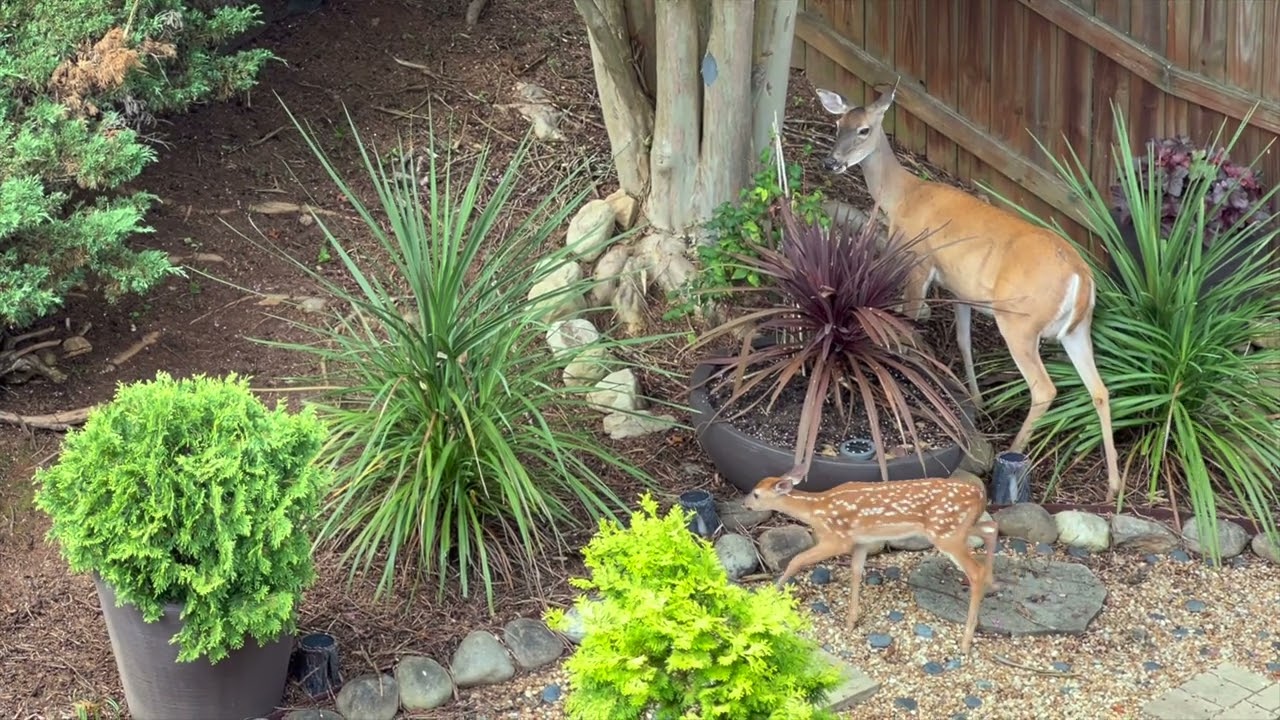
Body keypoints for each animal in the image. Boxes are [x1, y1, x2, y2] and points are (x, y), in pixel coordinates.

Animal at [744, 469, 999, 655]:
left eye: (756, 494)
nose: (745, 504)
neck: (815, 509)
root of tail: (980, 494)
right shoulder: (861, 542)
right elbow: (856, 572)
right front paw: (851, 622)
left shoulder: (837, 539)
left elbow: (797, 559)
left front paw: (771, 593)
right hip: (961, 528)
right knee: (991, 527)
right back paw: (992, 583)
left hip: (946, 532)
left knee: (975, 570)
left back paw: (966, 641)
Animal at [812, 83, 1124, 504]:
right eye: (838, 124)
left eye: (864, 130)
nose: (831, 162)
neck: (903, 197)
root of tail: (1081, 277)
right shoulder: (960, 289)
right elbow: (963, 340)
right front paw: (976, 400)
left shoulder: (918, 262)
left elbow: (909, 323)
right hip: (1078, 329)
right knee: (1101, 390)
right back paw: (1114, 484)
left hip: (1020, 323)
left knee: (1044, 388)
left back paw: (1013, 452)